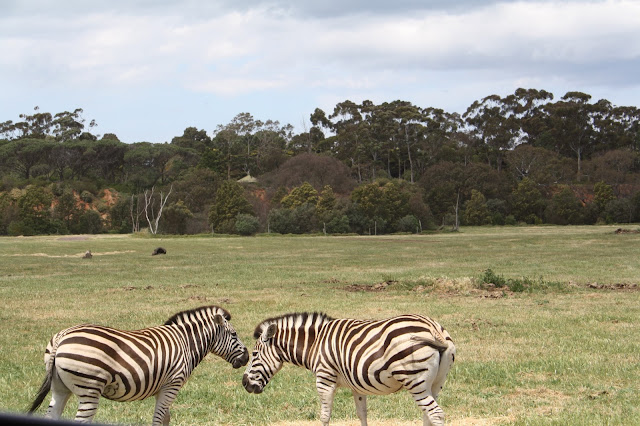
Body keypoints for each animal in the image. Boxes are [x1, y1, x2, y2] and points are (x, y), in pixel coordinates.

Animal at [30, 304, 250, 424]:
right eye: (234, 334)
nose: (246, 358)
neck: (186, 342)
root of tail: (61, 337)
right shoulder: (173, 384)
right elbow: (158, 418)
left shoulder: (165, 387)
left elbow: (165, 418)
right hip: (89, 388)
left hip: (60, 387)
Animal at [242, 312, 458, 424]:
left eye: (254, 355)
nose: (244, 384)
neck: (315, 343)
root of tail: (434, 329)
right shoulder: (357, 386)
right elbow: (362, 414)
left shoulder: (324, 379)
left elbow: (324, 416)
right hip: (436, 383)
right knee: (428, 415)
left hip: (414, 380)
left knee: (436, 414)